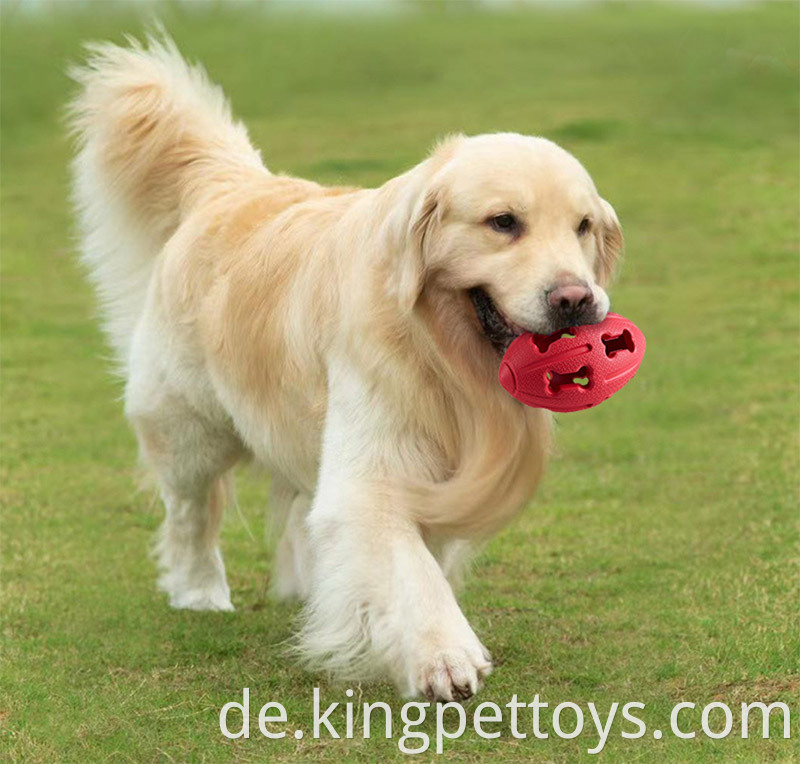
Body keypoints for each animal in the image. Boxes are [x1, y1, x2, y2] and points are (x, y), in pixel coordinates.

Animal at [69, 38, 620, 700]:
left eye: (583, 226)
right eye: (503, 222)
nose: (576, 299)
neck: (441, 353)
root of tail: (232, 185)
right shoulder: (375, 466)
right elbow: (408, 568)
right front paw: (443, 654)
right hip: (189, 428)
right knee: (190, 512)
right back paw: (199, 591)